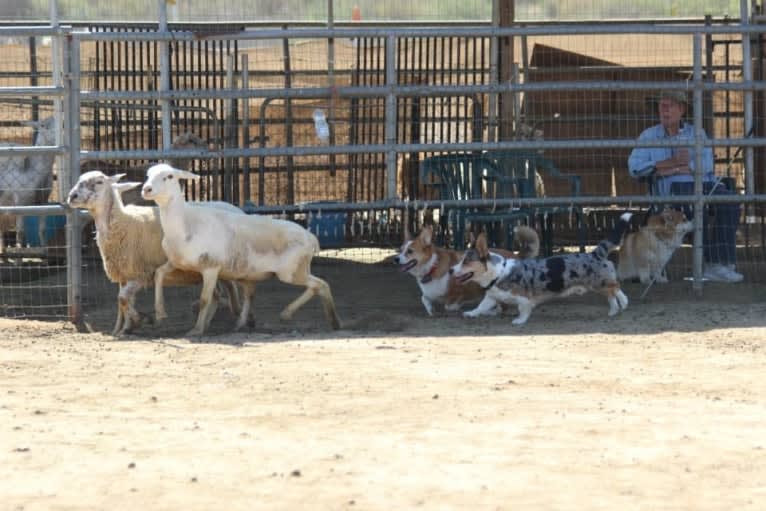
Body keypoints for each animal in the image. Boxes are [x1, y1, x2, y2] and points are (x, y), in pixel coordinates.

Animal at [0, 116, 56, 252]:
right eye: (43, 125)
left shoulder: (43, 201)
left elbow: (42, 230)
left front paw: (45, 251)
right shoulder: (20, 202)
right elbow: (20, 233)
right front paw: (19, 254)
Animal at [69, 172, 244, 336]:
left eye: (99, 182)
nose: (72, 196)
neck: (123, 222)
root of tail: (235, 208)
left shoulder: (141, 274)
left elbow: (123, 299)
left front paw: (142, 320)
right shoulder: (125, 274)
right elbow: (124, 302)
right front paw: (125, 328)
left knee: (226, 290)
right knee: (216, 294)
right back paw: (208, 323)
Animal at [141, 162, 340, 334]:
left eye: (169, 176)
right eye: (148, 175)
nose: (146, 189)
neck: (185, 224)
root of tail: (311, 237)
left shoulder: (211, 268)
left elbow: (205, 299)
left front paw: (196, 330)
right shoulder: (178, 263)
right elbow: (158, 274)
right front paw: (160, 313)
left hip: (292, 271)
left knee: (321, 285)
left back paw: (305, 316)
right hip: (278, 270)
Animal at [396, 225, 540, 316]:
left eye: (410, 251)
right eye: (400, 250)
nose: (395, 259)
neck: (432, 267)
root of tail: (517, 255)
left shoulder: (457, 293)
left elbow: (448, 305)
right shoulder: (428, 294)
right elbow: (424, 298)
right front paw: (431, 310)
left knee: (503, 308)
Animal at [452, 214, 632, 326]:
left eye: (466, 261)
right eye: (461, 259)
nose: (450, 271)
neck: (498, 274)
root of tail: (595, 254)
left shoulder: (524, 299)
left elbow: (523, 310)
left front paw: (519, 321)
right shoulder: (492, 297)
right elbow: (481, 307)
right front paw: (471, 313)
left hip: (599, 282)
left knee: (616, 287)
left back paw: (624, 302)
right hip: (598, 285)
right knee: (611, 295)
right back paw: (613, 311)